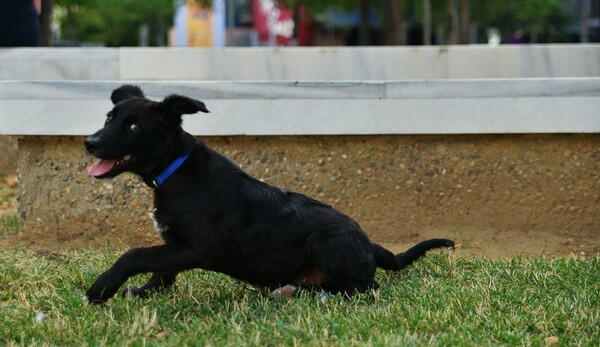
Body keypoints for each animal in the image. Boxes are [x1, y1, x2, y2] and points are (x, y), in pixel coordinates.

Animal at [82, 85, 452, 304]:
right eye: (109, 117)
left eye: (134, 127)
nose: (90, 143)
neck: (177, 168)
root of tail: (369, 243)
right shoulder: (177, 247)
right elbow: (161, 271)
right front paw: (142, 293)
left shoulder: (195, 248)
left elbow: (136, 255)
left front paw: (100, 290)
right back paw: (292, 290)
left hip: (327, 242)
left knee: (363, 288)